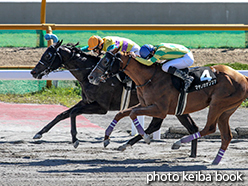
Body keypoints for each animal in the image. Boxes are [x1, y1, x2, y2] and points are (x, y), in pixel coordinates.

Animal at [31, 41, 199, 157]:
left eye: (48, 55)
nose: (33, 72)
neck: (87, 74)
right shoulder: (87, 101)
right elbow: (63, 114)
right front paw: (39, 133)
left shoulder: (101, 107)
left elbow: (73, 113)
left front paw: (75, 140)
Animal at [87, 47, 248, 164]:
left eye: (106, 61)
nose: (91, 77)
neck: (149, 78)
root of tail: (242, 77)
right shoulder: (145, 104)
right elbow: (121, 113)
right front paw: (107, 139)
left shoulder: (159, 110)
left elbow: (134, 115)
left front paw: (146, 138)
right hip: (225, 110)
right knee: (225, 136)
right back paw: (215, 160)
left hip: (217, 105)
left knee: (209, 128)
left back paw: (178, 142)